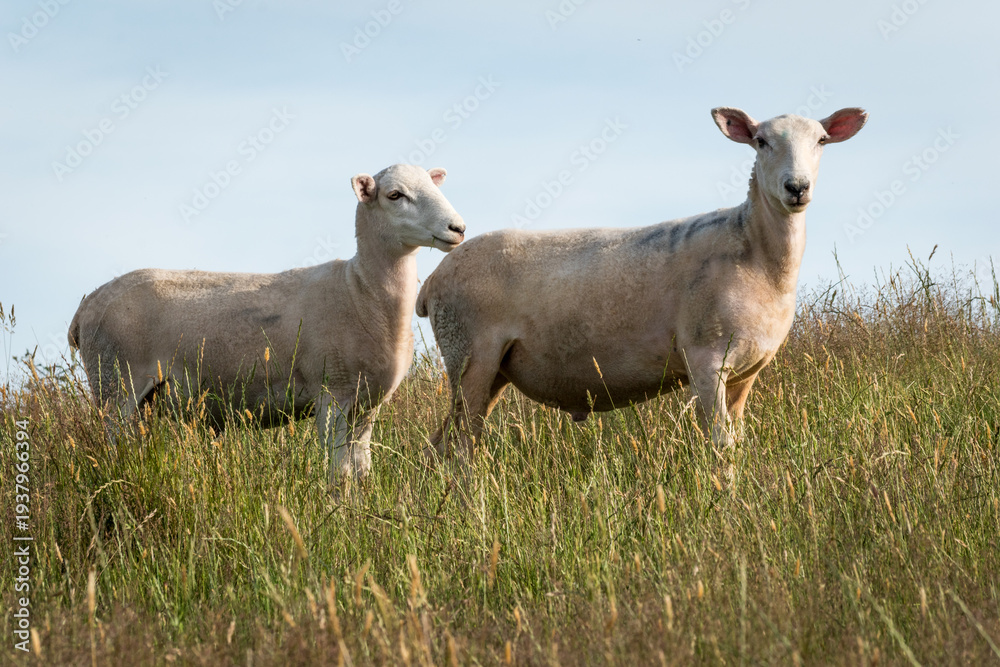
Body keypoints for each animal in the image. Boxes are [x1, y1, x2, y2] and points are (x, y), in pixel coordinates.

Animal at [68, 164, 466, 482]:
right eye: (395, 195)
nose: (458, 228)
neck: (359, 290)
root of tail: (87, 305)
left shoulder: (366, 406)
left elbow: (360, 471)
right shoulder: (331, 394)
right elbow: (337, 472)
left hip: (138, 399)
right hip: (115, 386)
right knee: (114, 449)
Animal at [416, 107, 867, 457]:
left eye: (822, 140)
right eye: (760, 141)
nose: (796, 187)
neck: (755, 252)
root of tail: (432, 282)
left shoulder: (746, 372)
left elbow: (735, 441)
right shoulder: (706, 359)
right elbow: (719, 443)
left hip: (491, 368)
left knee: (442, 445)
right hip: (468, 352)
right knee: (460, 446)